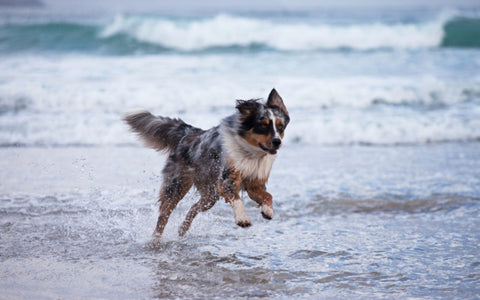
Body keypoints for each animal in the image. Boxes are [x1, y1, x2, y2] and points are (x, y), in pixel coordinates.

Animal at [124, 88, 288, 238]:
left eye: (280, 127)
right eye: (263, 126)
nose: (277, 142)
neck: (251, 153)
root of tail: (189, 133)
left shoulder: (254, 183)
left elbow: (268, 196)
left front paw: (268, 210)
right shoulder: (227, 179)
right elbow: (236, 198)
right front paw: (242, 218)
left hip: (210, 195)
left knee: (194, 207)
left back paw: (182, 229)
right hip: (176, 185)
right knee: (164, 215)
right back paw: (155, 239)